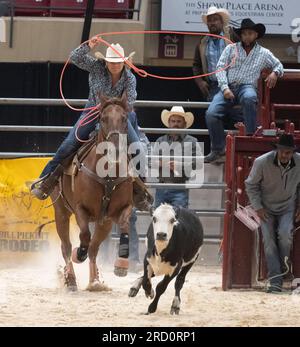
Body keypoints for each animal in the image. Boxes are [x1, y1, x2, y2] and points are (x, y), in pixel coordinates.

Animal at [51, 94, 134, 292]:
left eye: (124, 118)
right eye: (103, 119)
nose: (115, 150)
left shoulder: (120, 210)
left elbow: (125, 226)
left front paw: (121, 264)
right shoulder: (81, 209)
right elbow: (84, 237)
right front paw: (78, 254)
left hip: (104, 223)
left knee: (94, 249)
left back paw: (95, 281)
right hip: (61, 212)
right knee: (66, 246)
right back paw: (71, 279)